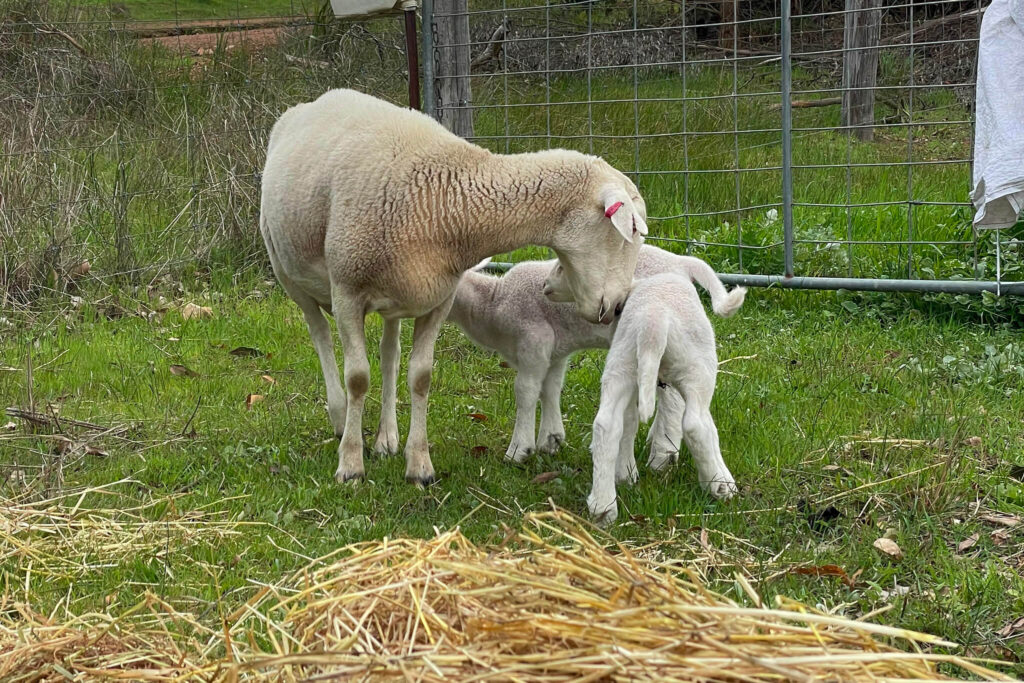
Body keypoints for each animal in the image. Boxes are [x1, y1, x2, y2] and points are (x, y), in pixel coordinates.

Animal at [262, 89, 647, 485]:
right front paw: (351, 464)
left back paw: (387, 437)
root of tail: (313, 103)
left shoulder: (438, 300)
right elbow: (357, 378)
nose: (619, 307)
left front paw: (419, 465)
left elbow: (420, 377)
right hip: (289, 272)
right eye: (631, 229)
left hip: (396, 296)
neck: (445, 201)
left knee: (389, 355)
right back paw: (340, 419)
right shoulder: (348, 292)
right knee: (320, 335)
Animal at [577, 272, 737, 524]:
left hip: (622, 363)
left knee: (606, 425)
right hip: (697, 367)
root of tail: (653, 323)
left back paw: (602, 507)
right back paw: (715, 486)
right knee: (695, 424)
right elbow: (709, 429)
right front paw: (724, 481)